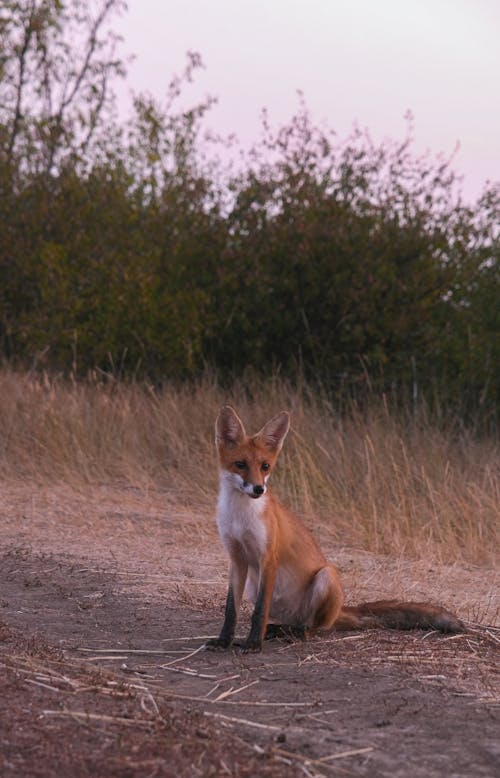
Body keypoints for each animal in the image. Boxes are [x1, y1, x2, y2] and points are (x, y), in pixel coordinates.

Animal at [206, 404, 464, 652]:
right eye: (240, 465)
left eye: (265, 466)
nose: (259, 489)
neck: (241, 517)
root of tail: (338, 611)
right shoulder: (237, 558)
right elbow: (231, 610)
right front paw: (224, 641)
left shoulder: (268, 558)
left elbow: (259, 611)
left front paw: (253, 644)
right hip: (254, 584)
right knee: (295, 623)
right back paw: (279, 629)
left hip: (326, 576)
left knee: (312, 628)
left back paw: (294, 634)